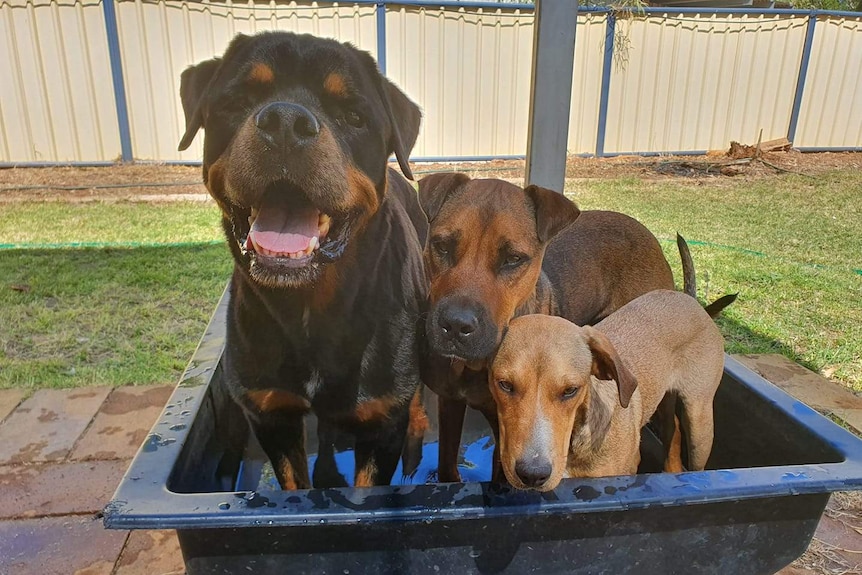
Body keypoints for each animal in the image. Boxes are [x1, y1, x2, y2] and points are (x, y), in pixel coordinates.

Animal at [179, 31, 428, 490]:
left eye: (353, 114)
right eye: (238, 100)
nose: (285, 122)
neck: (311, 306)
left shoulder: (381, 422)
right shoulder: (270, 413)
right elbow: (295, 481)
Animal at [490, 290, 724, 492]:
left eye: (570, 390)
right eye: (505, 384)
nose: (532, 474)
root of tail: (689, 299)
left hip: (700, 424)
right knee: (673, 428)